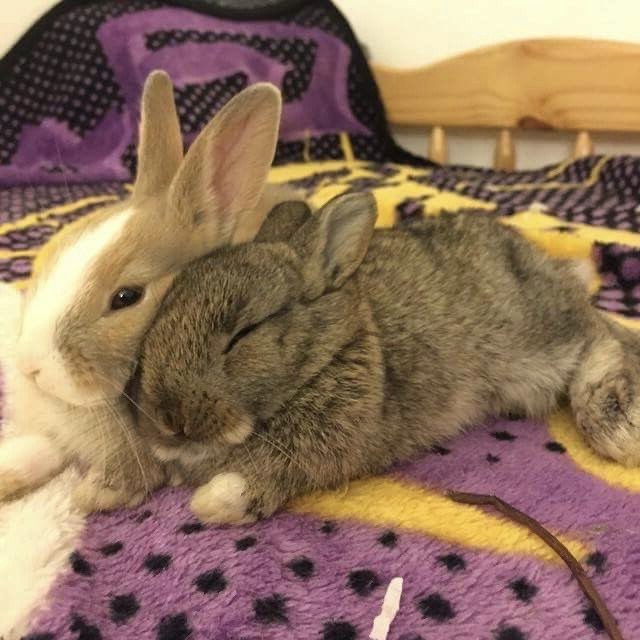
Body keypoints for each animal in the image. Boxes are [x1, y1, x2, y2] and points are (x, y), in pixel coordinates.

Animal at [129, 192, 640, 525]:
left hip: (535, 337)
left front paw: (212, 502)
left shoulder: (332, 443)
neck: (337, 345)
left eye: (245, 332)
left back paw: (619, 424)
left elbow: (271, 471)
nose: (168, 420)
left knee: (599, 334)